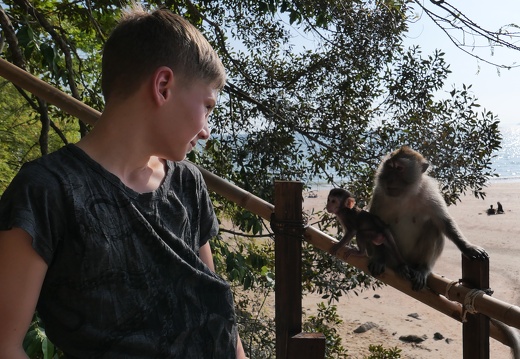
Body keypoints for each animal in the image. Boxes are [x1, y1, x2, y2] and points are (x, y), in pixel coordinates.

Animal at [370, 146, 488, 292]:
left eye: (399, 168)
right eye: (389, 166)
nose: (389, 179)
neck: (406, 195)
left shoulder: (430, 193)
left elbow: (444, 221)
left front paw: (468, 247)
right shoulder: (379, 194)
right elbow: (373, 224)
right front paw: (378, 258)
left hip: (416, 258)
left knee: (433, 227)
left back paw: (422, 269)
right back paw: (399, 267)